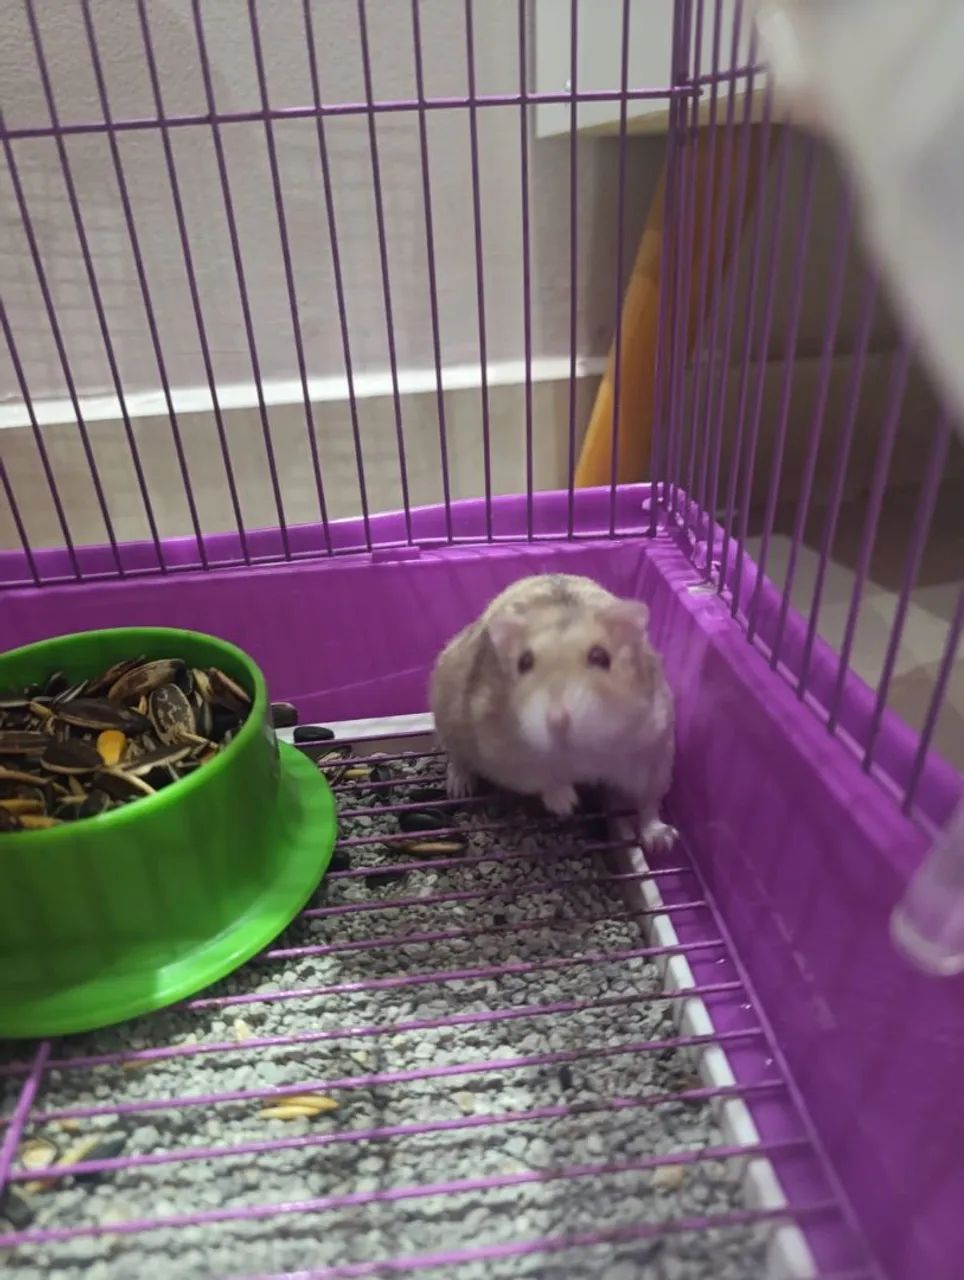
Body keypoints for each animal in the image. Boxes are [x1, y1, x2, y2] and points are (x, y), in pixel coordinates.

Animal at [429, 573, 677, 853]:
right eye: (524, 663)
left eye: (600, 657)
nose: (557, 721)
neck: (579, 752)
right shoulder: (504, 755)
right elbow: (544, 777)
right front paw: (567, 804)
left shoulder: (653, 748)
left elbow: (649, 803)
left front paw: (663, 841)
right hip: (447, 717)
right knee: (458, 760)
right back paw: (459, 789)